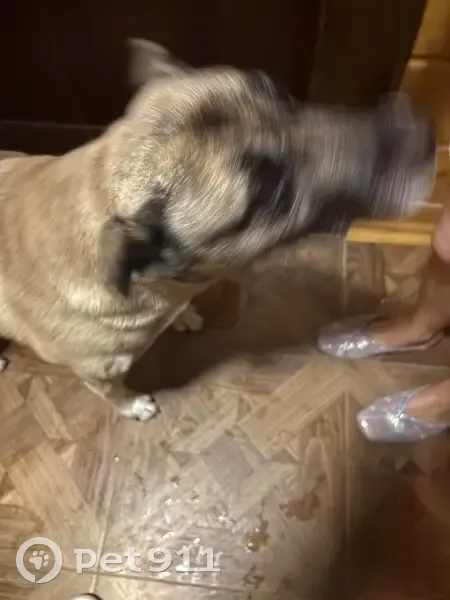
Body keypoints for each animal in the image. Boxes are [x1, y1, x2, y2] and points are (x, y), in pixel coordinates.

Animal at [0, 39, 436, 420]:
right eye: (269, 191)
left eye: (279, 93)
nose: (419, 132)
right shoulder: (99, 374)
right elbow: (114, 393)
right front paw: (133, 406)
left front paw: (185, 316)